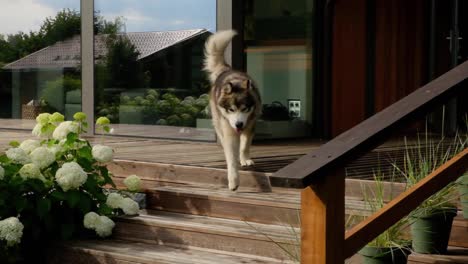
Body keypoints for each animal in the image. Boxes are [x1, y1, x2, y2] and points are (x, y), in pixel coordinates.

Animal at [204, 29, 262, 191]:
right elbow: (231, 156)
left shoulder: (251, 124)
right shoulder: (229, 130)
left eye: (244, 108)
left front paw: (245, 159)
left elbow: (245, 146)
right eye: (231, 109)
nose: (238, 124)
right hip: (218, 122)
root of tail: (227, 70)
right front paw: (233, 180)